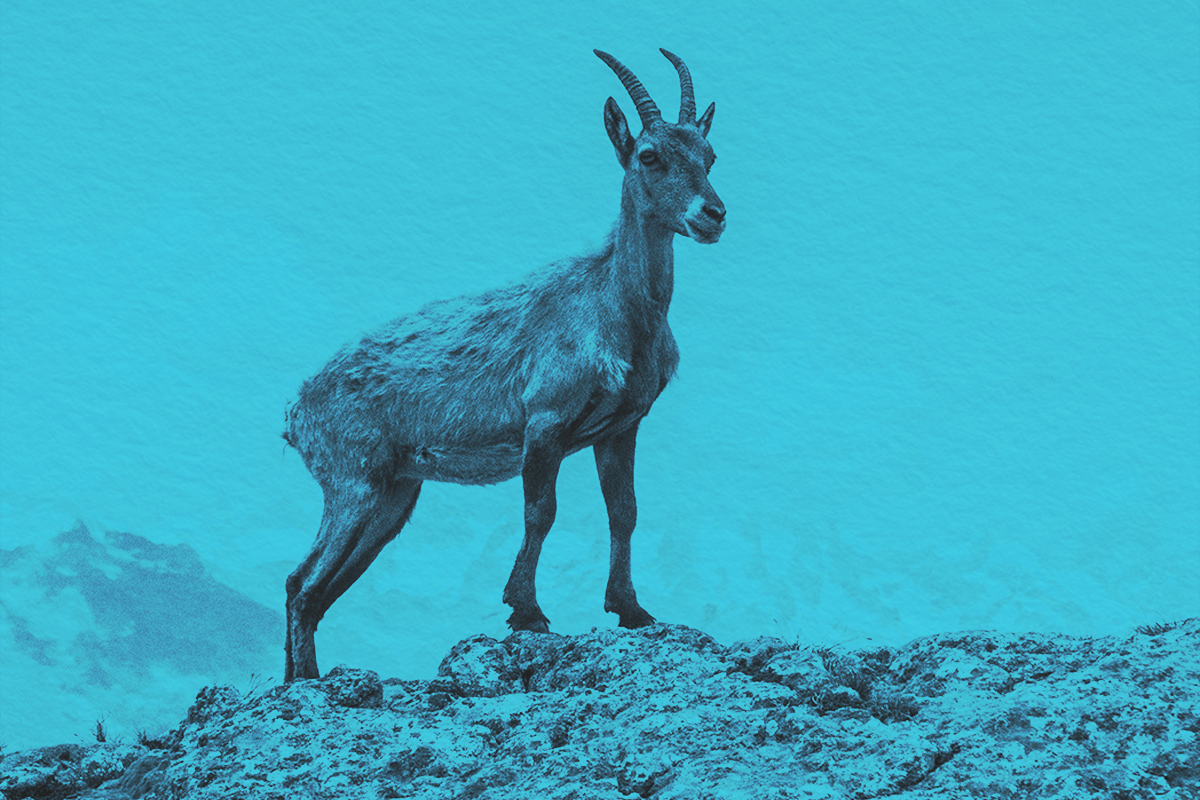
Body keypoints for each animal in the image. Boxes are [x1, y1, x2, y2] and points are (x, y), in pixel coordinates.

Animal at [282, 49, 725, 681]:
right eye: (650, 155)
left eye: (711, 155)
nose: (713, 215)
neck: (613, 310)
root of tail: (295, 413)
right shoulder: (544, 422)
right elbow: (541, 510)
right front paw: (528, 612)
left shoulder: (620, 427)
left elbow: (625, 511)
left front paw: (632, 609)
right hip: (353, 482)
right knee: (302, 585)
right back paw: (305, 684)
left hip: (394, 495)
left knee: (311, 587)